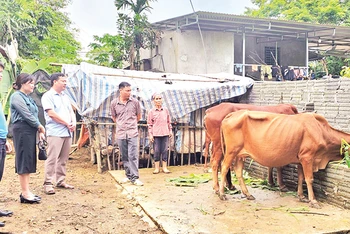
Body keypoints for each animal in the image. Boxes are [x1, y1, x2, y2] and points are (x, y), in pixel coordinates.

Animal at [220, 110, 348, 207]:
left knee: (238, 171)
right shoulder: (307, 157)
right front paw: (313, 201)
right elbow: (309, 179)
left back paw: (247, 194)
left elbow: (301, 178)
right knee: (224, 168)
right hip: (231, 151)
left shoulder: (300, 160)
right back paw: (222, 194)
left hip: (240, 154)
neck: (322, 131)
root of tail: (231, 114)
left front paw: (301, 196)